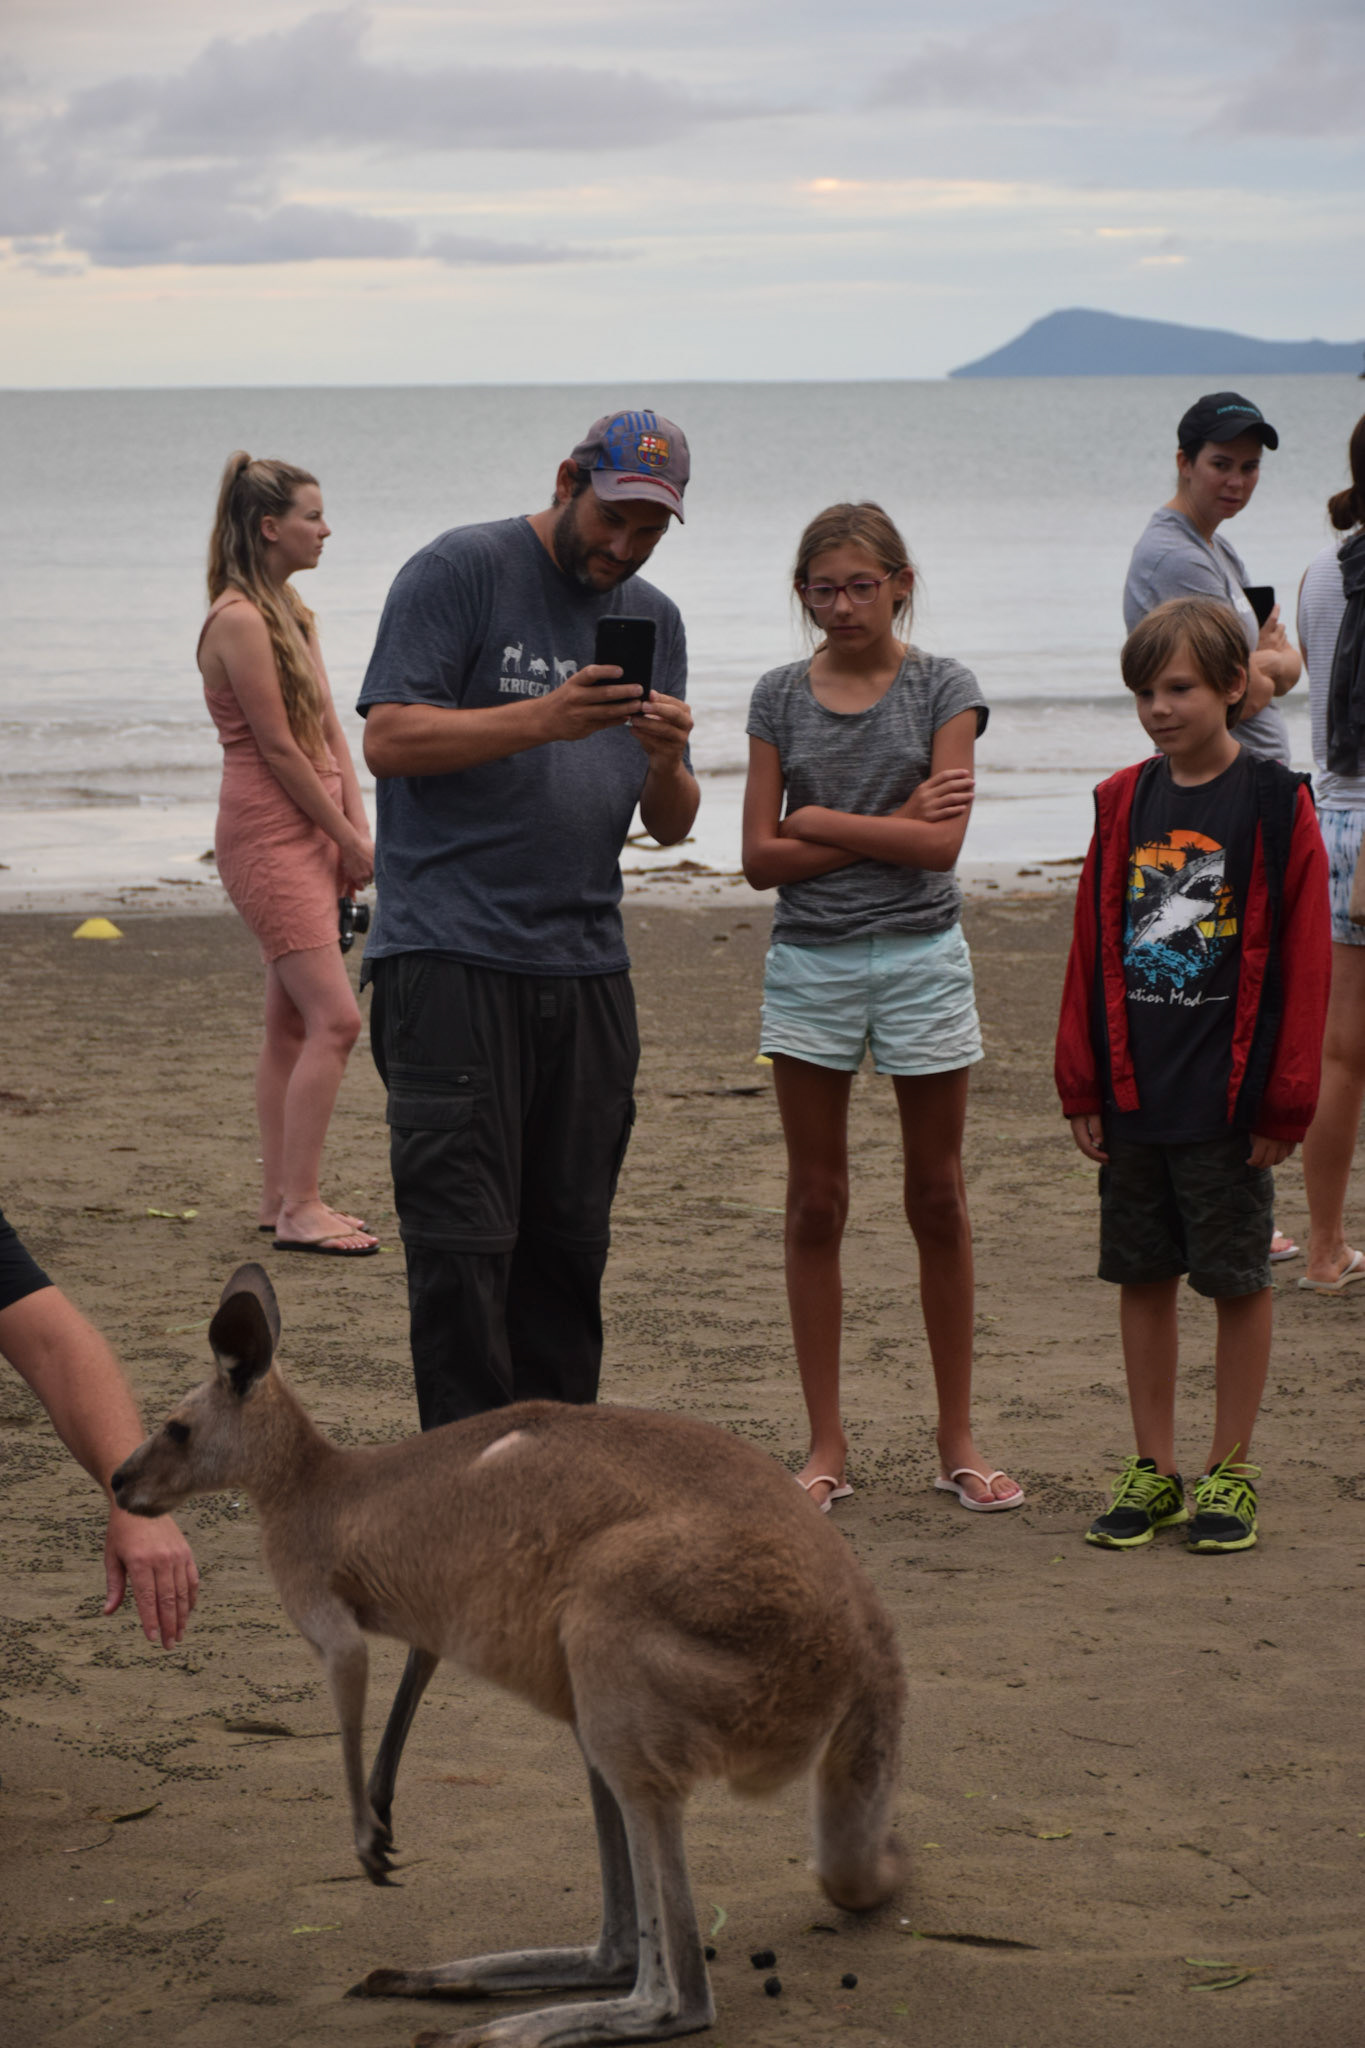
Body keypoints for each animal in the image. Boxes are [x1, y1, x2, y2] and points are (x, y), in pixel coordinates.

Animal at [112, 1264, 905, 2046]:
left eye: (176, 1430)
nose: (119, 1481)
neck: (310, 1483)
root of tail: (869, 1635)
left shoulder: (317, 1595)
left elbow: (348, 1675)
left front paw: (367, 1838)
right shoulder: (434, 1611)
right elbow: (413, 1670)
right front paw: (381, 1811)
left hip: (636, 1633)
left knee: (677, 1995)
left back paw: (510, 2028)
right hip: (606, 1688)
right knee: (619, 1935)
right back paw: (448, 1982)